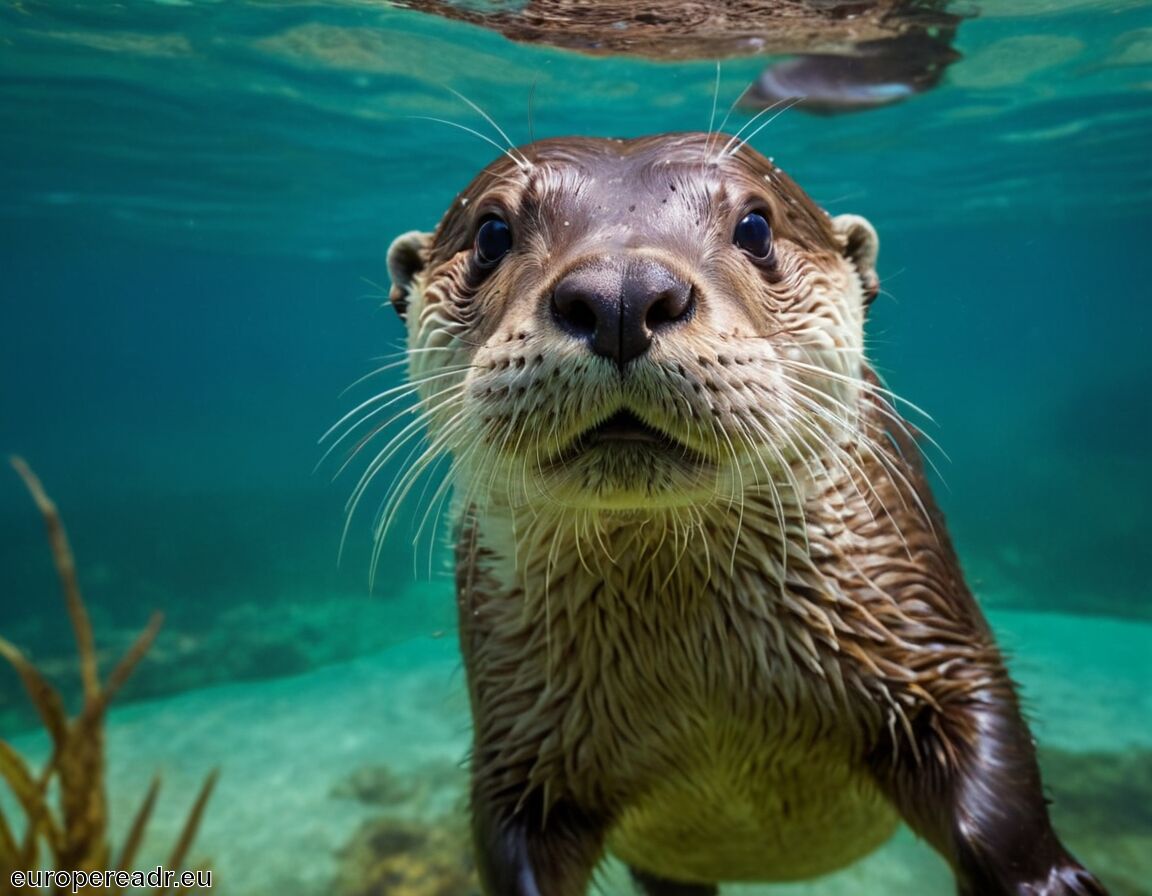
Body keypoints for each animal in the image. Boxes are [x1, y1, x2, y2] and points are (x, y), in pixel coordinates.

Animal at [383, 133, 1107, 895]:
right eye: (492, 233)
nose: (621, 293)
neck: (709, 689)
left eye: (756, 228)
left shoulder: (927, 635)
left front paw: (1048, 883)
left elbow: (992, 779)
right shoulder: (517, 744)